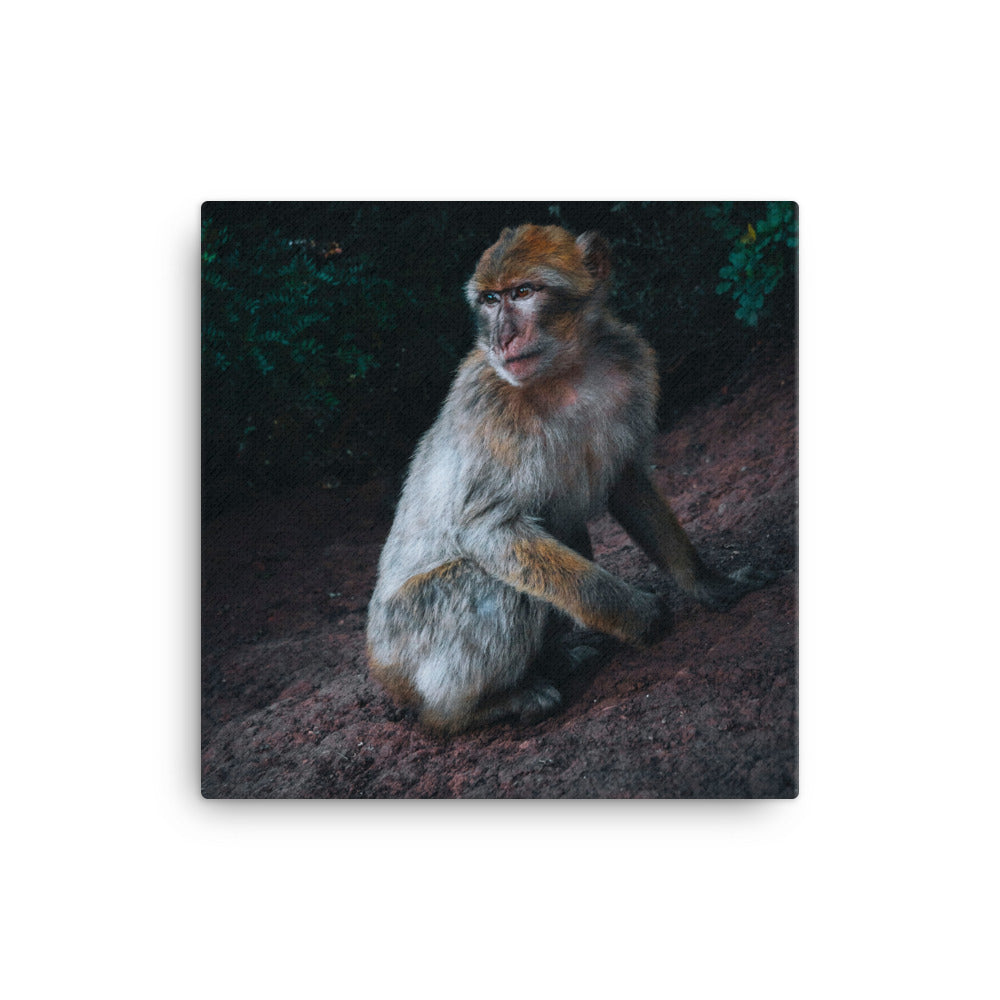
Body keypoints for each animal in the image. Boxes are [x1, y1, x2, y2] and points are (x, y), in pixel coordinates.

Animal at [366, 224, 773, 734]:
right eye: (490, 300)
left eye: (523, 293)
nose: (501, 338)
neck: (566, 373)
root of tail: (381, 667)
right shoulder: (491, 406)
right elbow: (489, 531)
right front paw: (637, 615)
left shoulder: (631, 365)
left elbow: (626, 481)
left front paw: (707, 582)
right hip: (409, 640)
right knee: (490, 584)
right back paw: (474, 709)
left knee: (562, 528)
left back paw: (554, 660)